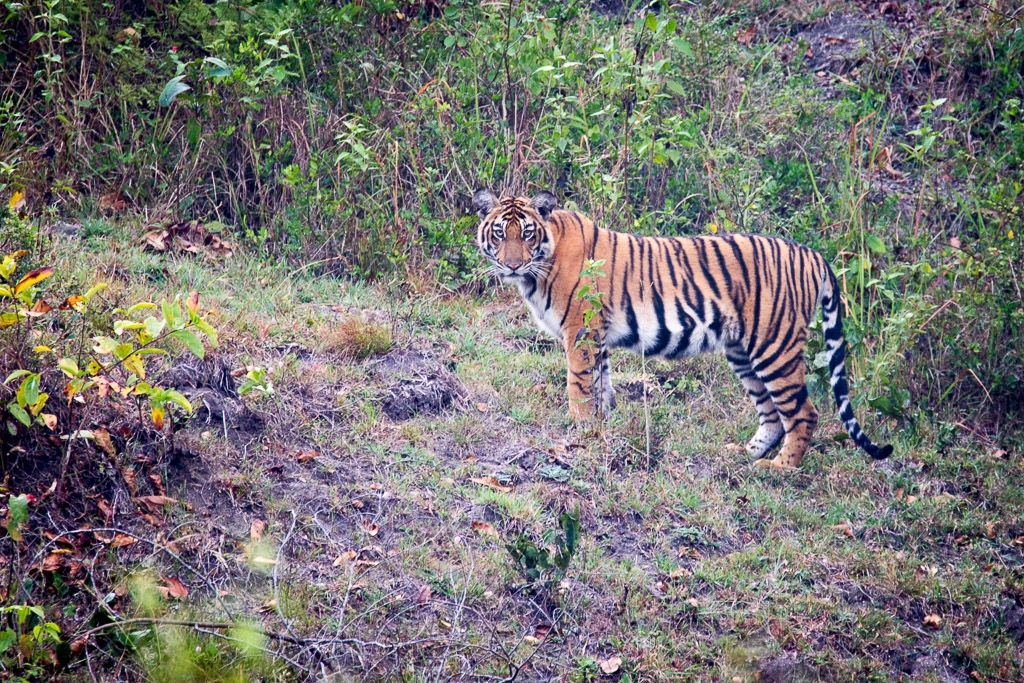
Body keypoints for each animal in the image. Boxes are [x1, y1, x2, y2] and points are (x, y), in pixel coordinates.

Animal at [475, 189, 892, 473]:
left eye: (527, 234)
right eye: (499, 234)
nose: (512, 265)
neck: (538, 269)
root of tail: (813, 253)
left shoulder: (580, 331)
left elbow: (578, 386)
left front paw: (578, 429)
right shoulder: (599, 336)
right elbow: (603, 385)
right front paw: (603, 426)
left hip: (777, 347)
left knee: (803, 412)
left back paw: (780, 468)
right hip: (743, 352)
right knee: (772, 414)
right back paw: (743, 455)